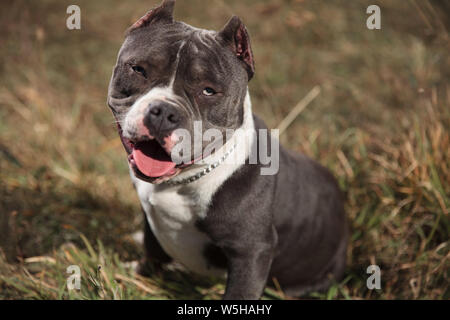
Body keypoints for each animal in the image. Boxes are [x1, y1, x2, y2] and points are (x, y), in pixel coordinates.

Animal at [108, 0, 348, 300]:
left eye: (209, 91)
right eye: (139, 70)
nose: (163, 113)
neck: (183, 181)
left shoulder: (251, 251)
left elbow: (239, 293)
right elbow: (153, 249)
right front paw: (141, 274)